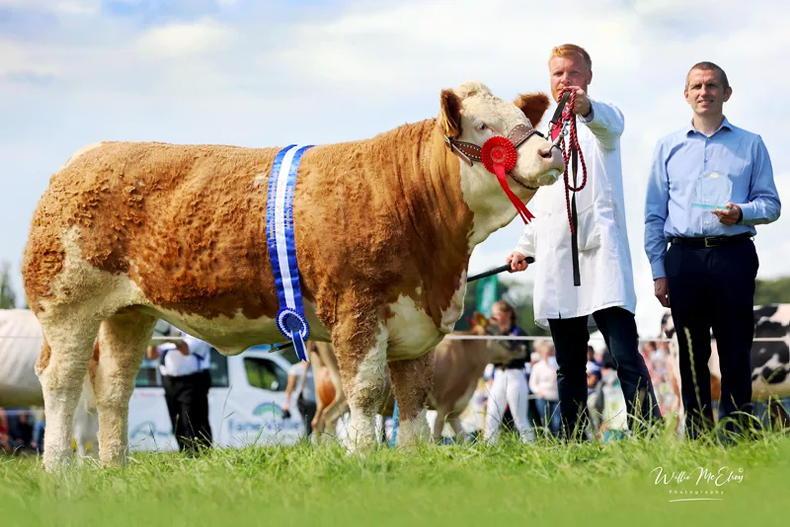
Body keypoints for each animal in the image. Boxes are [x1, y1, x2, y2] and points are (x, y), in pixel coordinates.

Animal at [23, 81, 563, 469]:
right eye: (483, 125)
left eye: (525, 121)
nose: (549, 151)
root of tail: (84, 158)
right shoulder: (356, 308)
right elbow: (368, 390)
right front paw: (363, 457)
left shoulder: (414, 321)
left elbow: (410, 398)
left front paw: (412, 459)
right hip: (67, 304)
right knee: (62, 381)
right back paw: (59, 469)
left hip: (129, 313)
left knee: (114, 387)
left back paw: (114, 467)